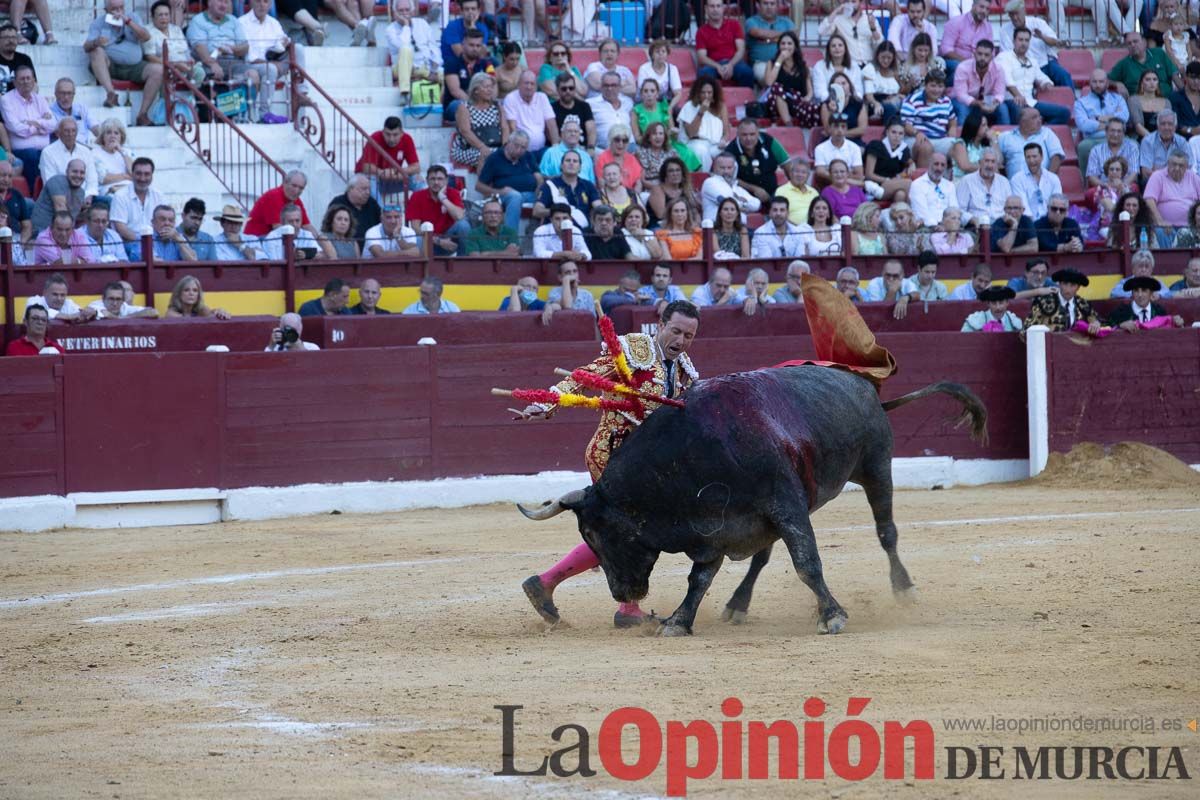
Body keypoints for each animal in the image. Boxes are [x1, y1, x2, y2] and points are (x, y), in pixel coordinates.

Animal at [520, 367, 988, 633]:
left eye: (601, 535)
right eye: (587, 537)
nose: (622, 590)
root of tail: (866, 386)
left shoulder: (787, 506)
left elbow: (807, 563)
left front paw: (833, 616)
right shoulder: (714, 525)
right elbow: (699, 579)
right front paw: (678, 622)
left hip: (877, 466)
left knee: (886, 531)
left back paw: (904, 588)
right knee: (761, 559)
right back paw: (737, 605)